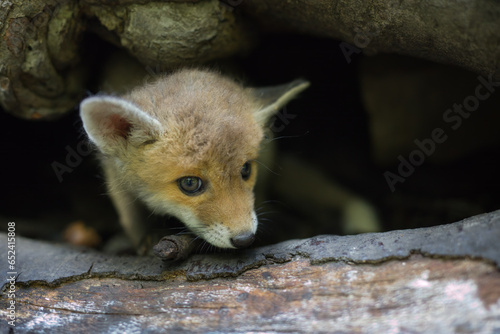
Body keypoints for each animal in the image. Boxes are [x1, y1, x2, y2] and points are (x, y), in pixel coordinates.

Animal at [80, 69, 308, 254]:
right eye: (190, 183)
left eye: (246, 169)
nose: (244, 239)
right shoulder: (115, 177)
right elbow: (132, 219)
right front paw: (144, 239)